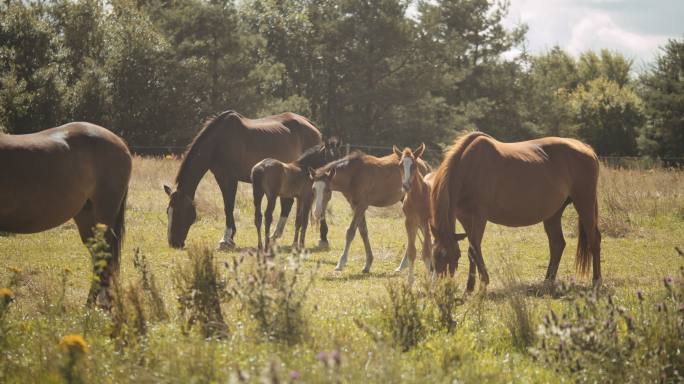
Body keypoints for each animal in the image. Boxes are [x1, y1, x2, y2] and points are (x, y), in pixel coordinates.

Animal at [166, 111, 326, 249]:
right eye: (168, 212)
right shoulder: (220, 177)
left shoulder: (230, 178)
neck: (218, 141)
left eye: (179, 213)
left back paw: (323, 239)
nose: (173, 243)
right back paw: (275, 236)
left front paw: (226, 239)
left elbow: (229, 206)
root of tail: (311, 125)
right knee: (288, 203)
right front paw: (230, 237)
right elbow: (227, 206)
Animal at [430, 132, 600, 292]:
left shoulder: (479, 216)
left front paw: (481, 284)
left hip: (584, 202)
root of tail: (586, 148)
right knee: (557, 244)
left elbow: (473, 249)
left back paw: (596, 281)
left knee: (594, 240)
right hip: (554, 214)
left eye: (453, 255)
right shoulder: (464, 217)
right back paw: (547, 282)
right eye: (434, 255)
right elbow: (473, 248)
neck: (469, 168)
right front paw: (471, 286)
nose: (442, 286)